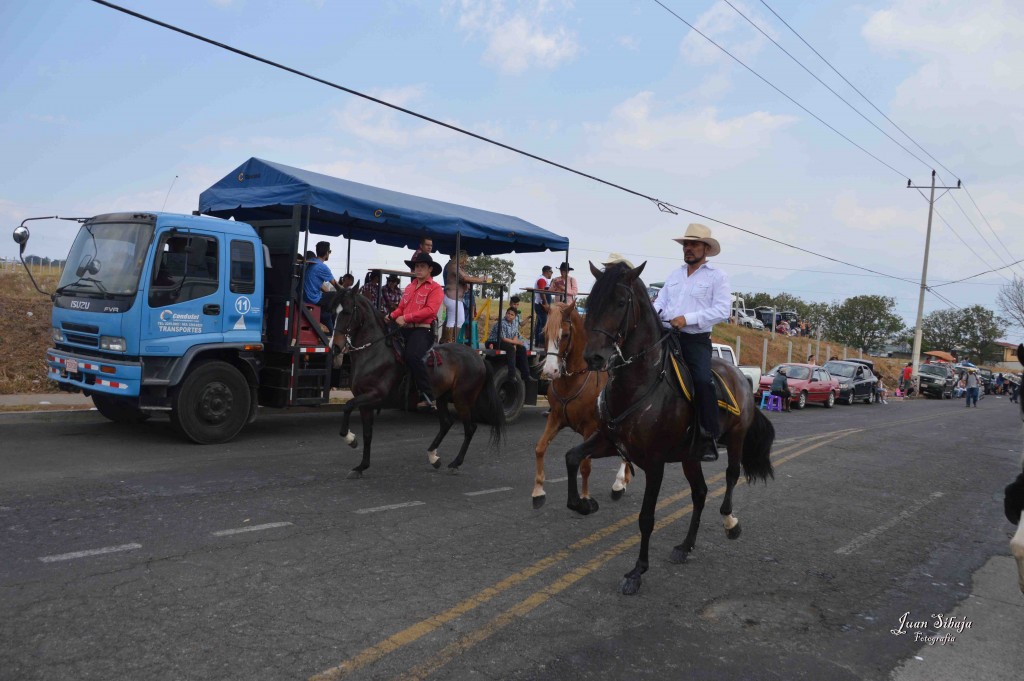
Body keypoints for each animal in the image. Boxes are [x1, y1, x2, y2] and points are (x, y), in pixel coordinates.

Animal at [331, 288, 503, 477]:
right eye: (333, 312)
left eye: (347, 312)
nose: (335, 346)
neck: (373, 352)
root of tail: (478, 357)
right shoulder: (364, 402)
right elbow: (367, 433)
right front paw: (362, 465)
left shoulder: (375, 395)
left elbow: (347, 406)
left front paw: (350, 439)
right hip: (442, 397)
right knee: (446, 423)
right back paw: (433, 457)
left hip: (462, 400)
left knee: (470, 428)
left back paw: (455, 463)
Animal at [532, 303, 626, 509]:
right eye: (544, 333)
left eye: (566, 334)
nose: (550, 371)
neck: (573, 379)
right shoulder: (555, 418)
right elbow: (540, 448)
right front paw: (538, 491)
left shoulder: (590, 427)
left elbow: (585, 466)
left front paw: (584, 497)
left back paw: (619, 482)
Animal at [565, 262, 770, 593]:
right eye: (591, 302)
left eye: (620, 303)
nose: (594, 357)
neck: (639, 383)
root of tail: (739, 373)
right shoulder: (608, 442)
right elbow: (572, 457)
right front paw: (583, 505)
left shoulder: (655, 464)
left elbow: (647, 517)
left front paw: (637, 571)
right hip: (690, 457)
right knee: (700, 493)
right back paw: (685, 547)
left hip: (736, 439)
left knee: (731, 475)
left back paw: (730, 522)